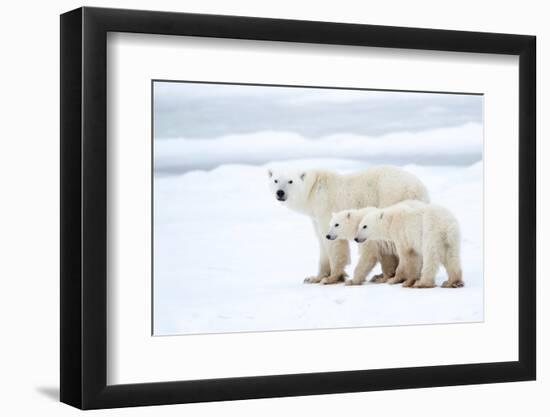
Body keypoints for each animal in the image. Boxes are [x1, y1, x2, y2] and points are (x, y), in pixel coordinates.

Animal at [270, 167, 434, 284]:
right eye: (276, 180)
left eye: (290, 181)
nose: (280, 193)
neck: (314, 189)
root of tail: (421, 188)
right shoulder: (315, 217)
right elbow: (322, 241)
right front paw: (313, 278)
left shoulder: (325, 206)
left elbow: (334, 243)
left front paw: (332, 277)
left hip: (392, 195)